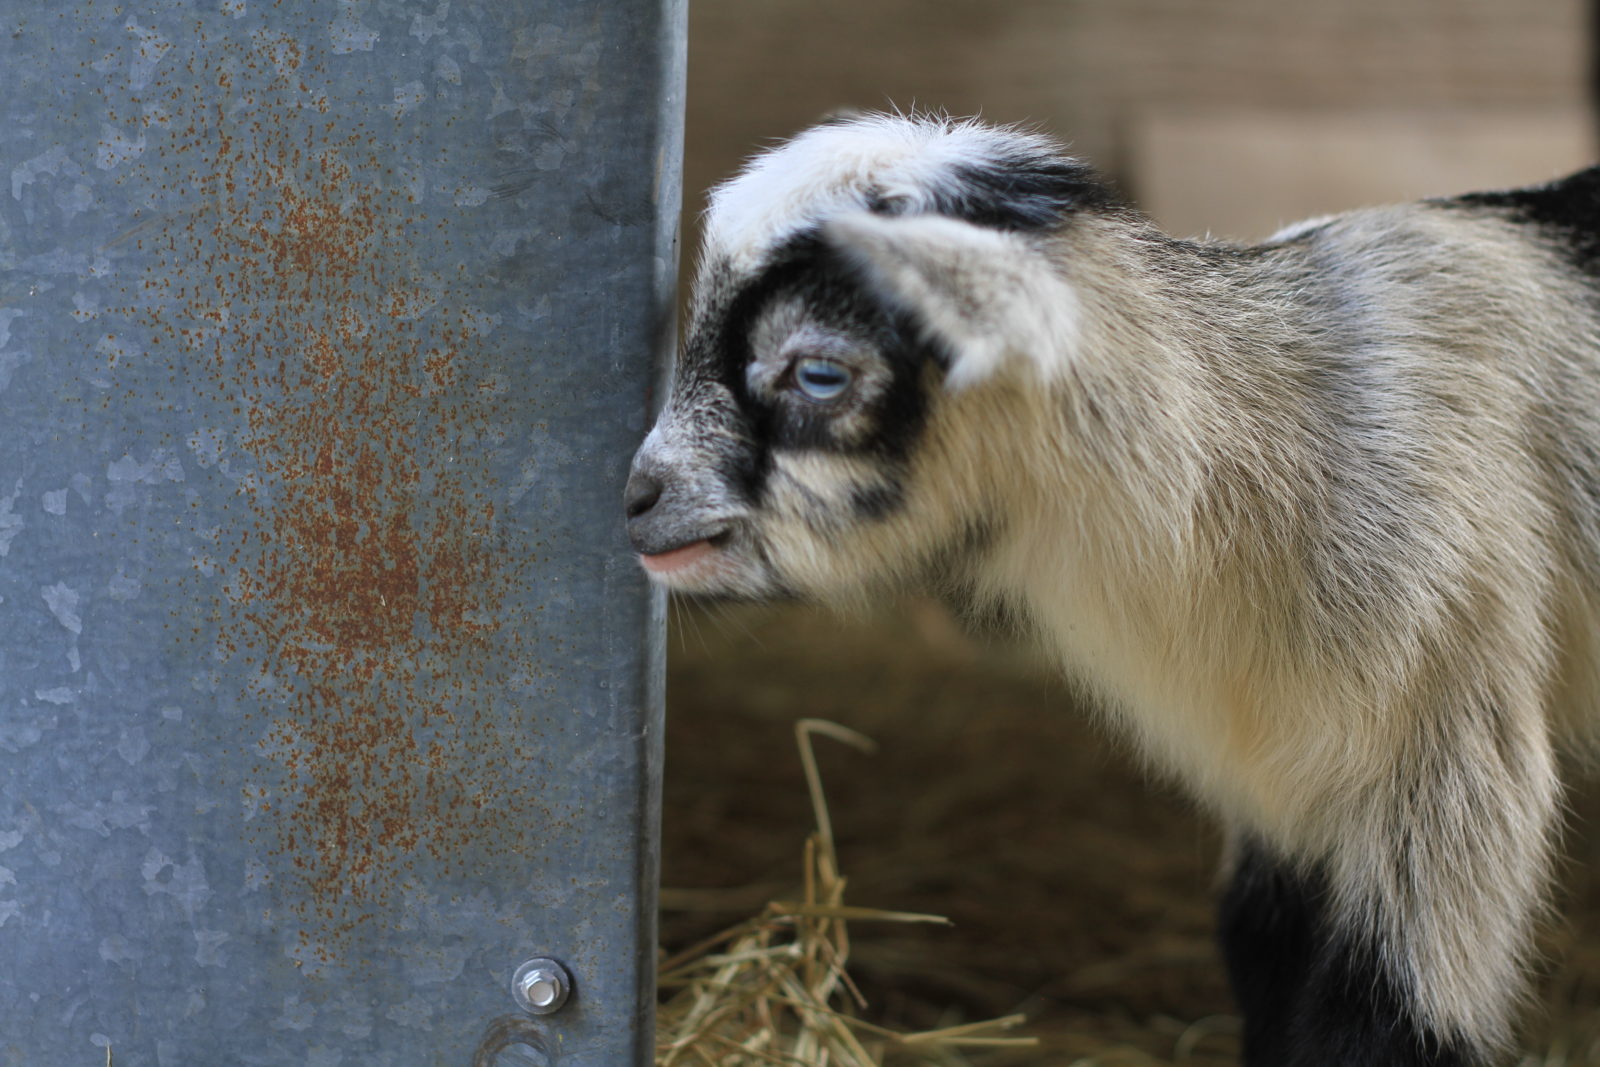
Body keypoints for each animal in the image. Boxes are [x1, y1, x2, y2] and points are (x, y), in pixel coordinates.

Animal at [617, 112, 1600, 1062]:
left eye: (818, 373)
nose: (637, 497)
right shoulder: (1278, 776)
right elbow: (1259, 946)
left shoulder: (1446, 747)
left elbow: (1385, 1016)